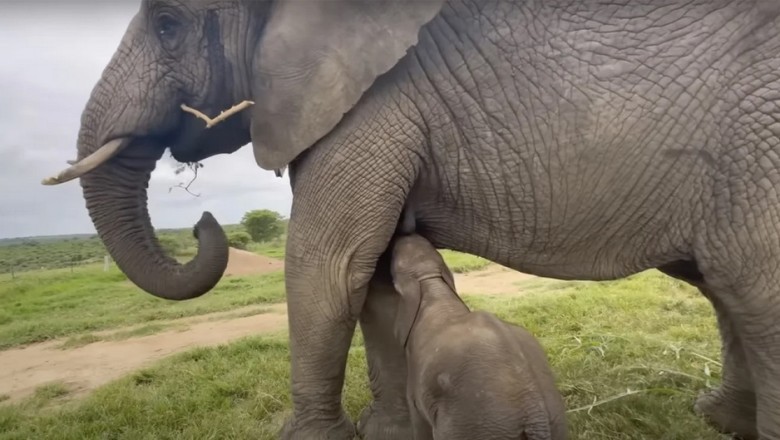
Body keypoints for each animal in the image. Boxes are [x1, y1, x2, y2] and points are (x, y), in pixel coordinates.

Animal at [387, 233, 568, 440]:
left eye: (394, 258)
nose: (403, 234)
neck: (429, 280)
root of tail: (534, 412)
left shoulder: (415, 385)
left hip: (476, 424)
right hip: (554, 417)